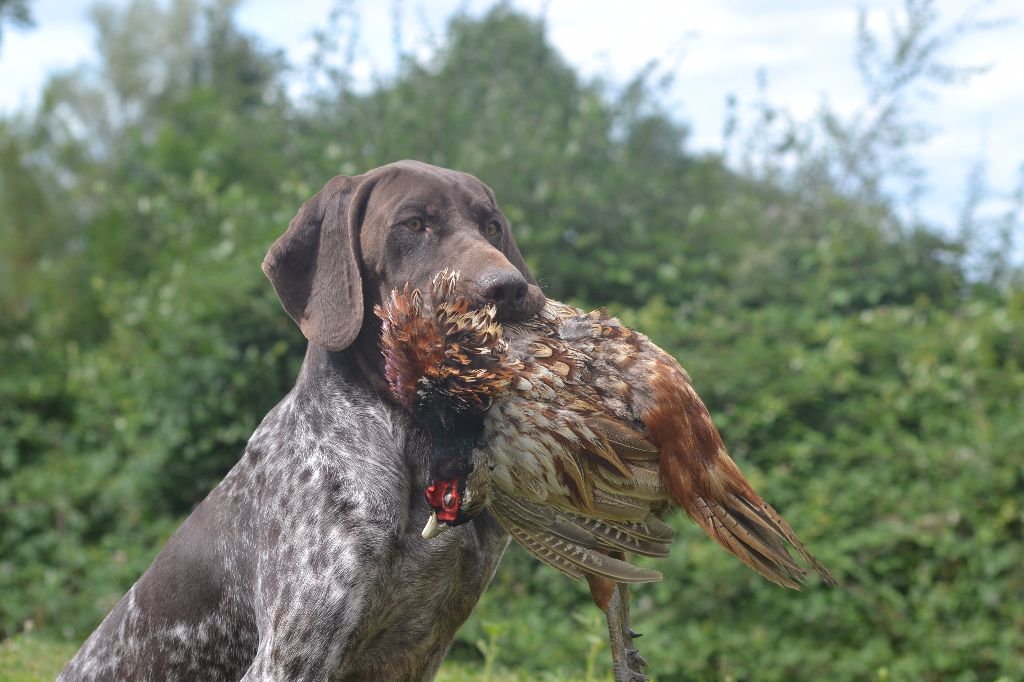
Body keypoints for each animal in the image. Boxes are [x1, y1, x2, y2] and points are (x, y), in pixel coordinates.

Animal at [58, 160, 544, 679]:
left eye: (491, 227)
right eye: (414, 224)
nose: (508, 288)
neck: (418, 440)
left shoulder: (420, 650)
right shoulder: (291, 654)